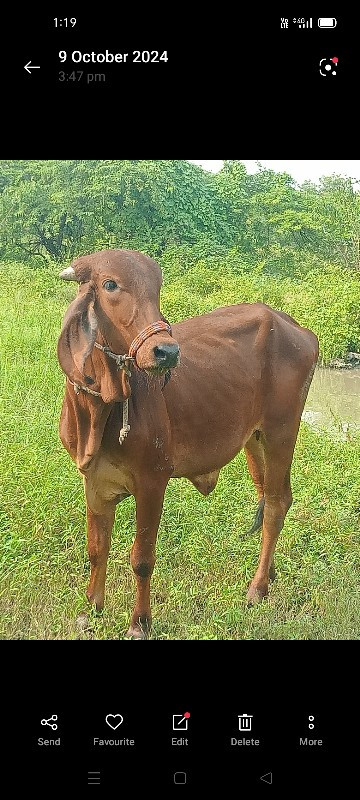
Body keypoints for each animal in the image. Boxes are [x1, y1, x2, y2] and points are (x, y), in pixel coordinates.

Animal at [56, 248, 318, 636]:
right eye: (110, 285)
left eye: (157, 287)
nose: (166, 352)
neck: (101, 406)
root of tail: (295, 327)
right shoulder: (94, 481)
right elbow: (96, 548)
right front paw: (91, 609)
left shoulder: (153, 481)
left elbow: (142, 558)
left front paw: (139, 623)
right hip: (254, 440)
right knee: (272, 496)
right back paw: (268, 573)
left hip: (282, 432)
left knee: (274, 506)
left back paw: (256, 589)